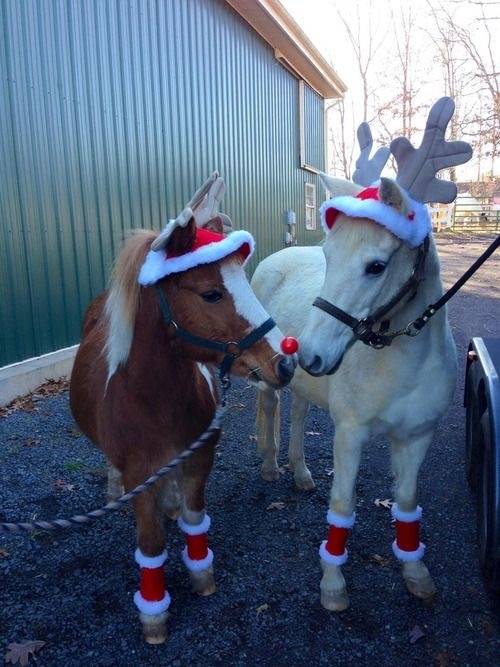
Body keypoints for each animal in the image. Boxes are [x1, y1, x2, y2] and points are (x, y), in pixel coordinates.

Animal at [71, 214, 296, 640]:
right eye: (211, 294)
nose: (287, 363)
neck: (155, 402)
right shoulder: (138, 476)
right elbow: (151, 543)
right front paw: (154, 614)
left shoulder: (199, 459)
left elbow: (194, 518)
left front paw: (202, 576)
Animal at [254, 98, 472, 612]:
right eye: (329, 256)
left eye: (376, 265)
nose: (309, 355)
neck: (402, 366)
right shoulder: (350, 433)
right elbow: (343, 506)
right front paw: (333, 585)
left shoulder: (416, 438)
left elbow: (407, 506)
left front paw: (415, 573)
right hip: (272, 377)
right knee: (271, 407)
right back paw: (272, 465)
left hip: (303, 386)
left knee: (297, 413)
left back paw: (300, 472)